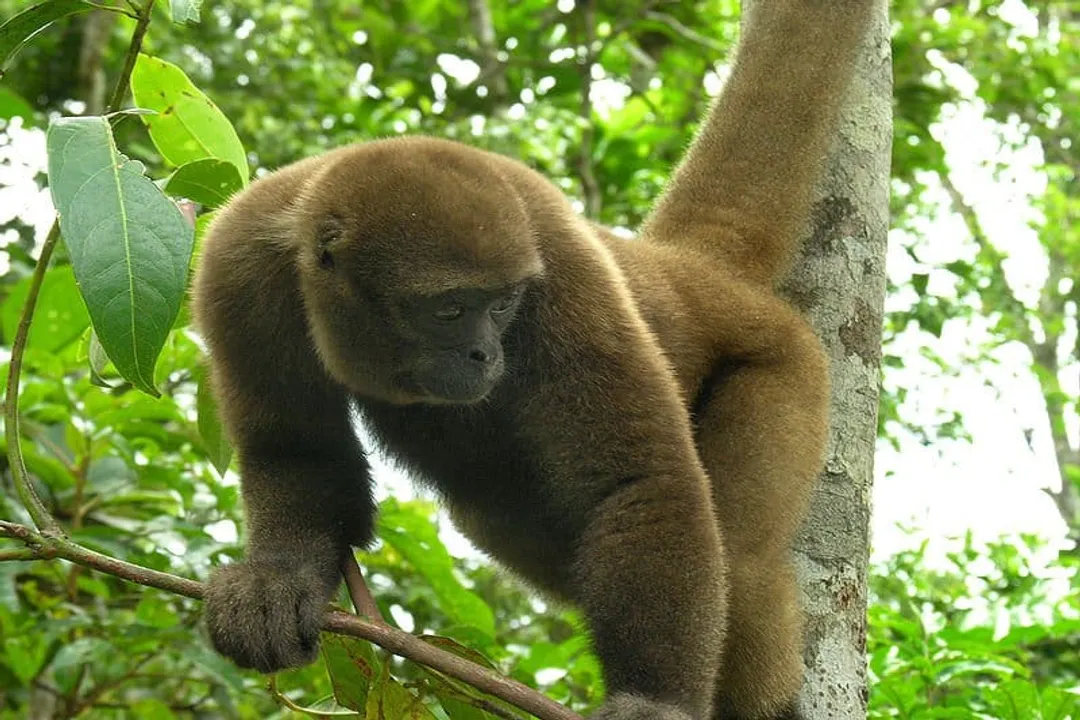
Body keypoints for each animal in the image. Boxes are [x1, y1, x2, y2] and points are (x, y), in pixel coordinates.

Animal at [191, 1, 876, 718]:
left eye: (502, 305)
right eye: (448, 310)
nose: (484, 352)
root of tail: (686, 267)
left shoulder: (557, 254)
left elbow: (640, 482)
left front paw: (653, 700)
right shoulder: (235, 261)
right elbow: (293, 447)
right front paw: (278, 580)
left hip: (784, 364)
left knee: (738, 563)